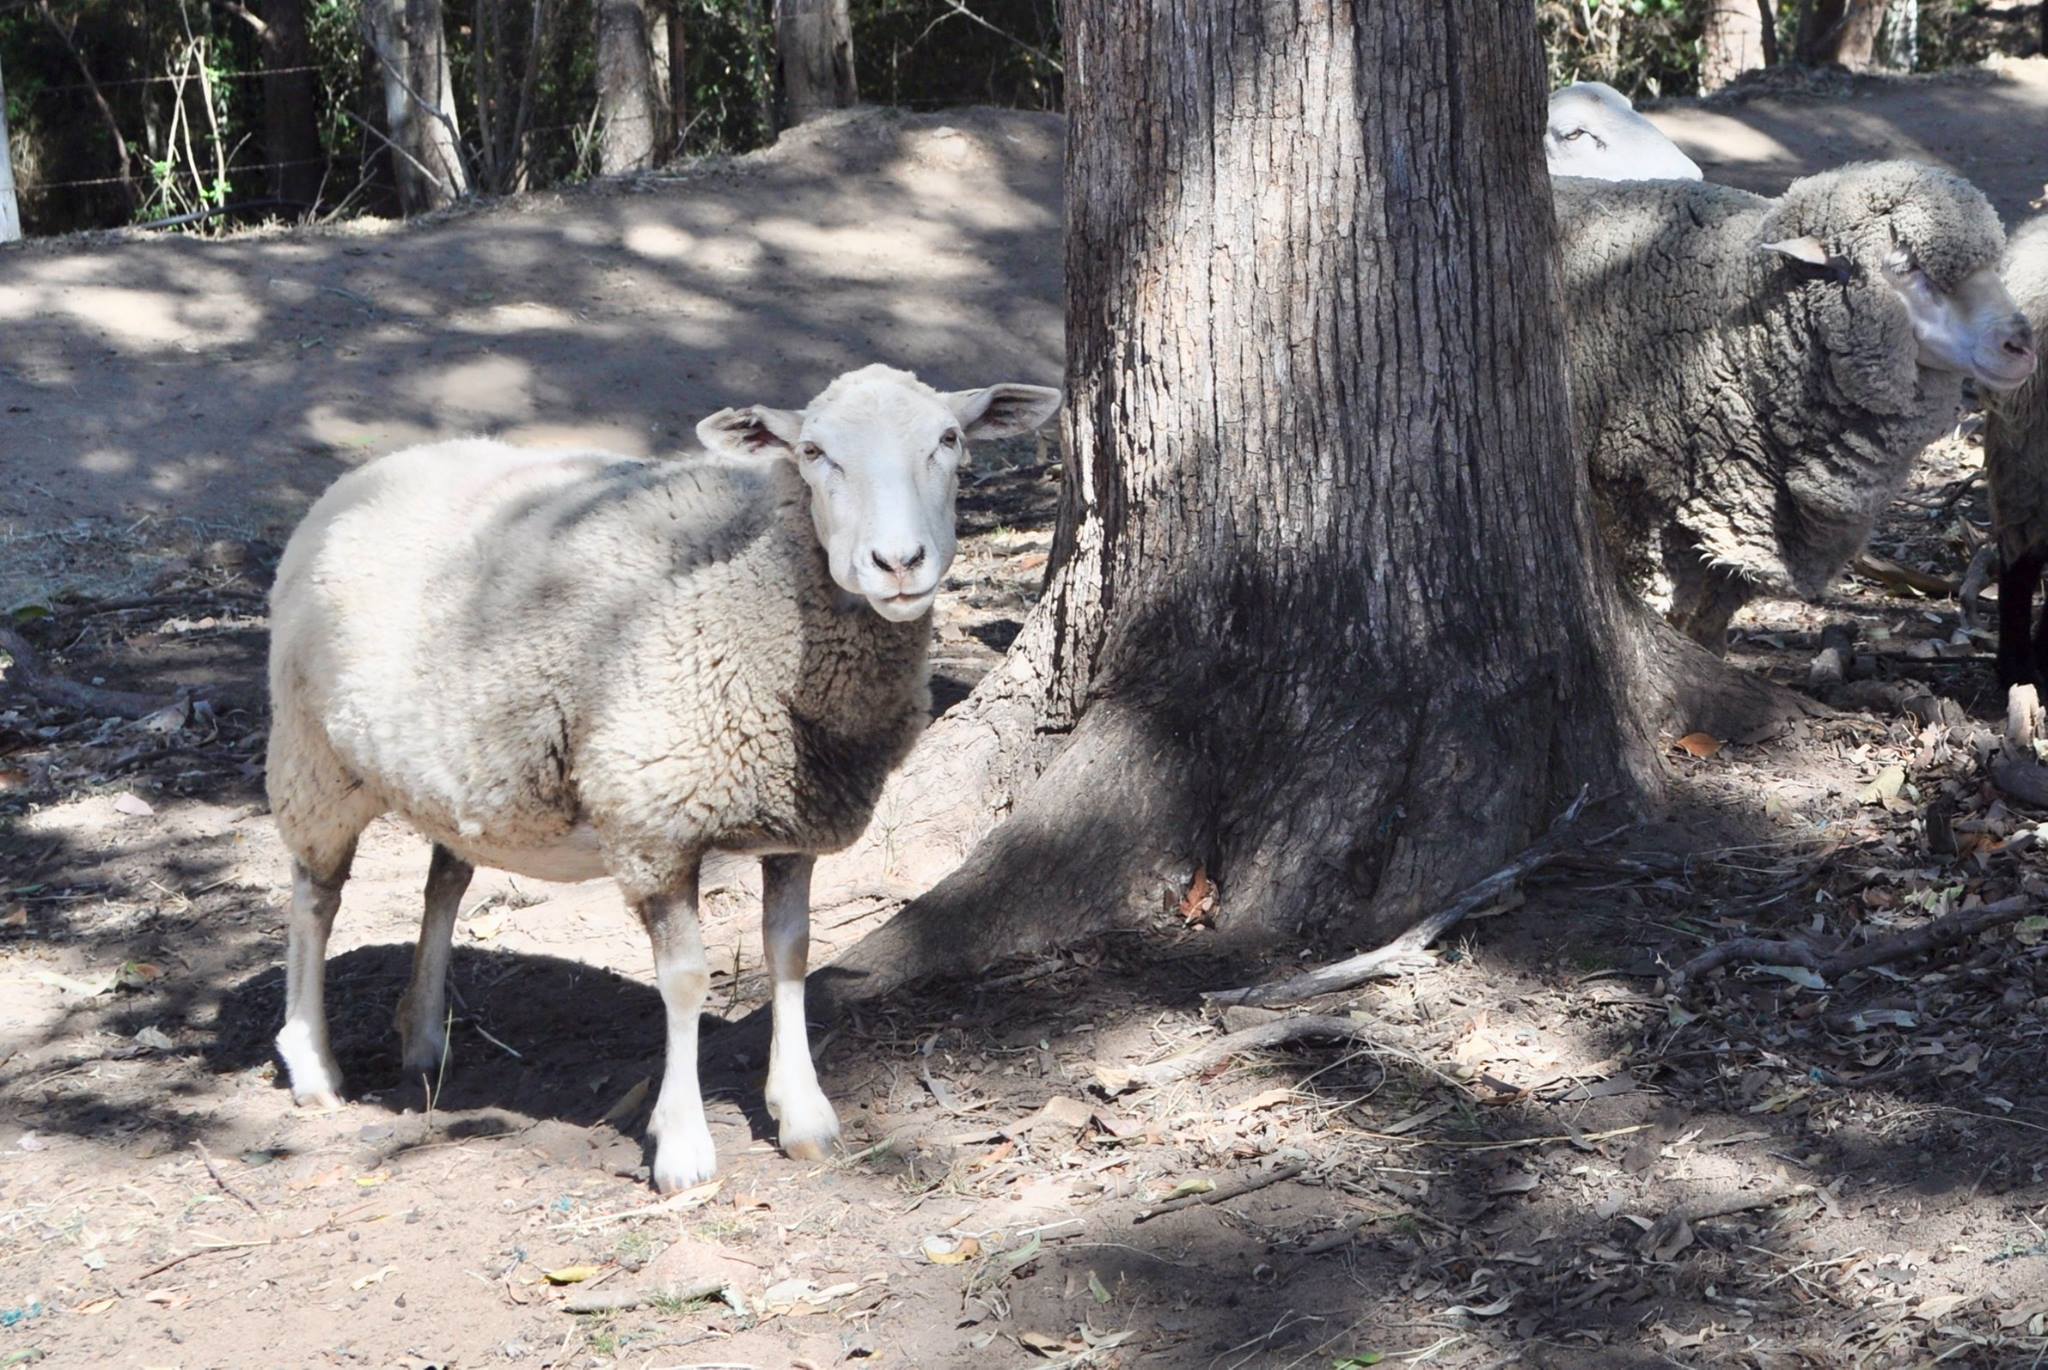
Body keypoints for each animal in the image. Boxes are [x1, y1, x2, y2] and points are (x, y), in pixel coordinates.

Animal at [264, 360, 1064, 1187]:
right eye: (813, 452)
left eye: (950, 439)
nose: (899, 564)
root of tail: (364, 476)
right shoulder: (654, 824)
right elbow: (684, 980)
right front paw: (682, 1147)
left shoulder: (795, 823)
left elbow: (790, 952)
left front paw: (803, 1113)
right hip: (312, 758)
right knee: (315, 898)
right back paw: (313, 1063)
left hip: (464, 774)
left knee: (443, 882)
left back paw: (423, 1037)